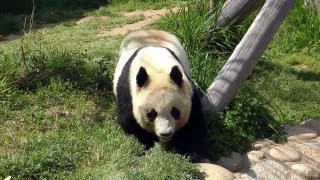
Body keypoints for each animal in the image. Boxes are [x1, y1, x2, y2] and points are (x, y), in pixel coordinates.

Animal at [114, 29, 209, 162]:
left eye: (175, 111)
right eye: (152, 113)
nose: (165, 134)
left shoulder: (187, 89)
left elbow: (194, 120)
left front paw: (190, 152)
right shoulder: (128, 91)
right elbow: (129, 120)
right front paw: (148, 145)